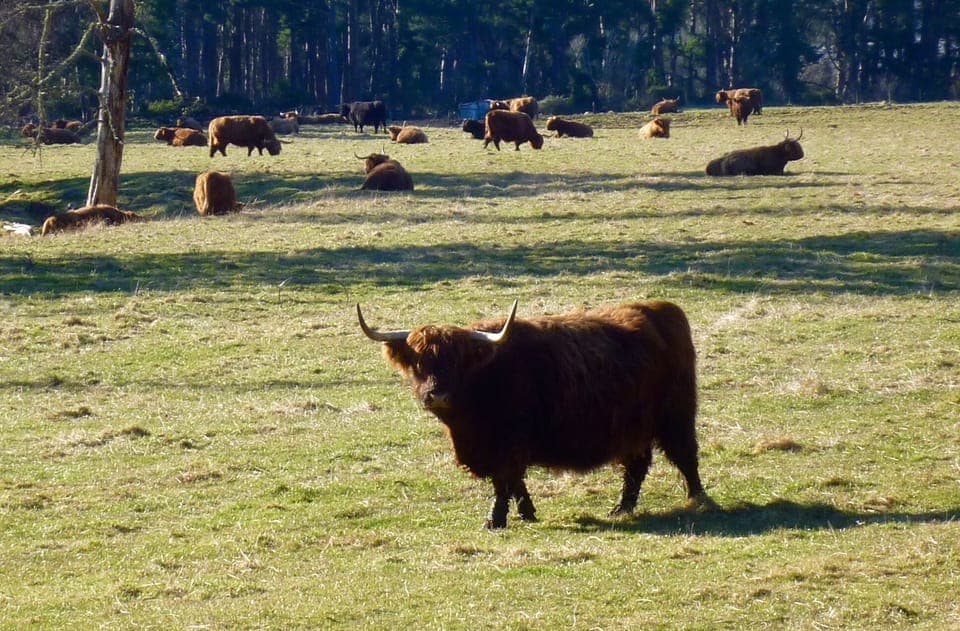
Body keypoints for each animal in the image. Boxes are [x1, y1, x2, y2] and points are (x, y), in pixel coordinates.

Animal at [357, 299, 712, 529]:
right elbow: (514, 481)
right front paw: (527, 512)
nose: (437, 395)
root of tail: (662, 308)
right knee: (636, 466)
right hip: (632, 429)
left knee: (685, 456)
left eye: (457, 362)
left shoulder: (509, 442)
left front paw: (495, 520)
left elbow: (504, 481)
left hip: (676, 415)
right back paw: (621, 509)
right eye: (419, 362)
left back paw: (697, 499)